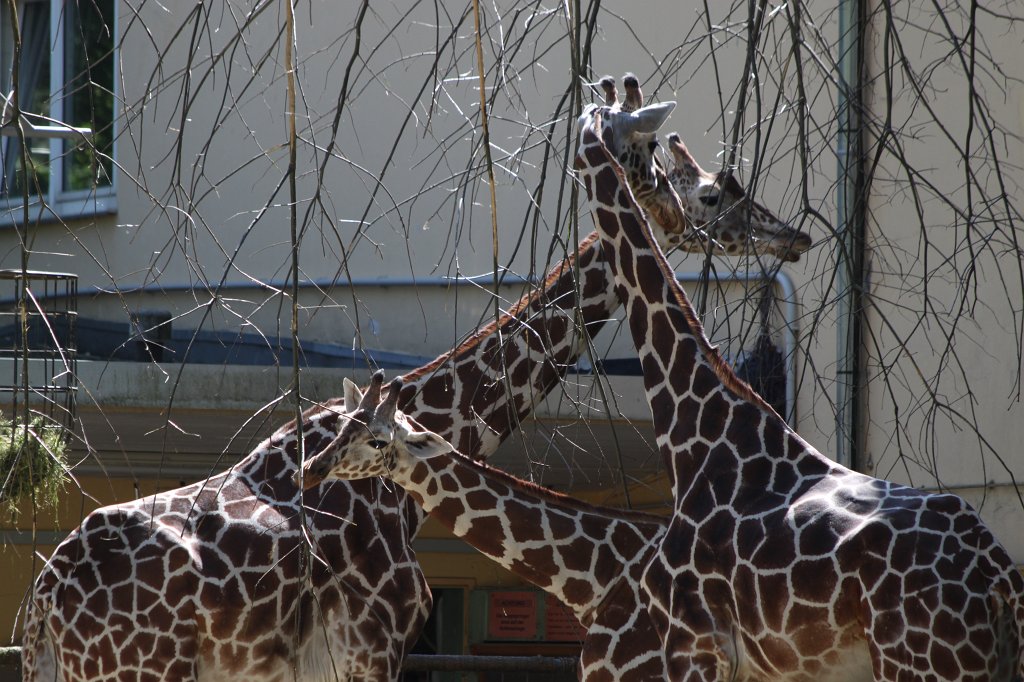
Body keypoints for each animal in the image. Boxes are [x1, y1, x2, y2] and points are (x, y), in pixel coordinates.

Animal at [573, 100, 1024, 681]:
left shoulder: (693, 647)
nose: (662, 204)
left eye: (648, 150)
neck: (692, 433)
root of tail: (999, 578)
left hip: (922, 664)